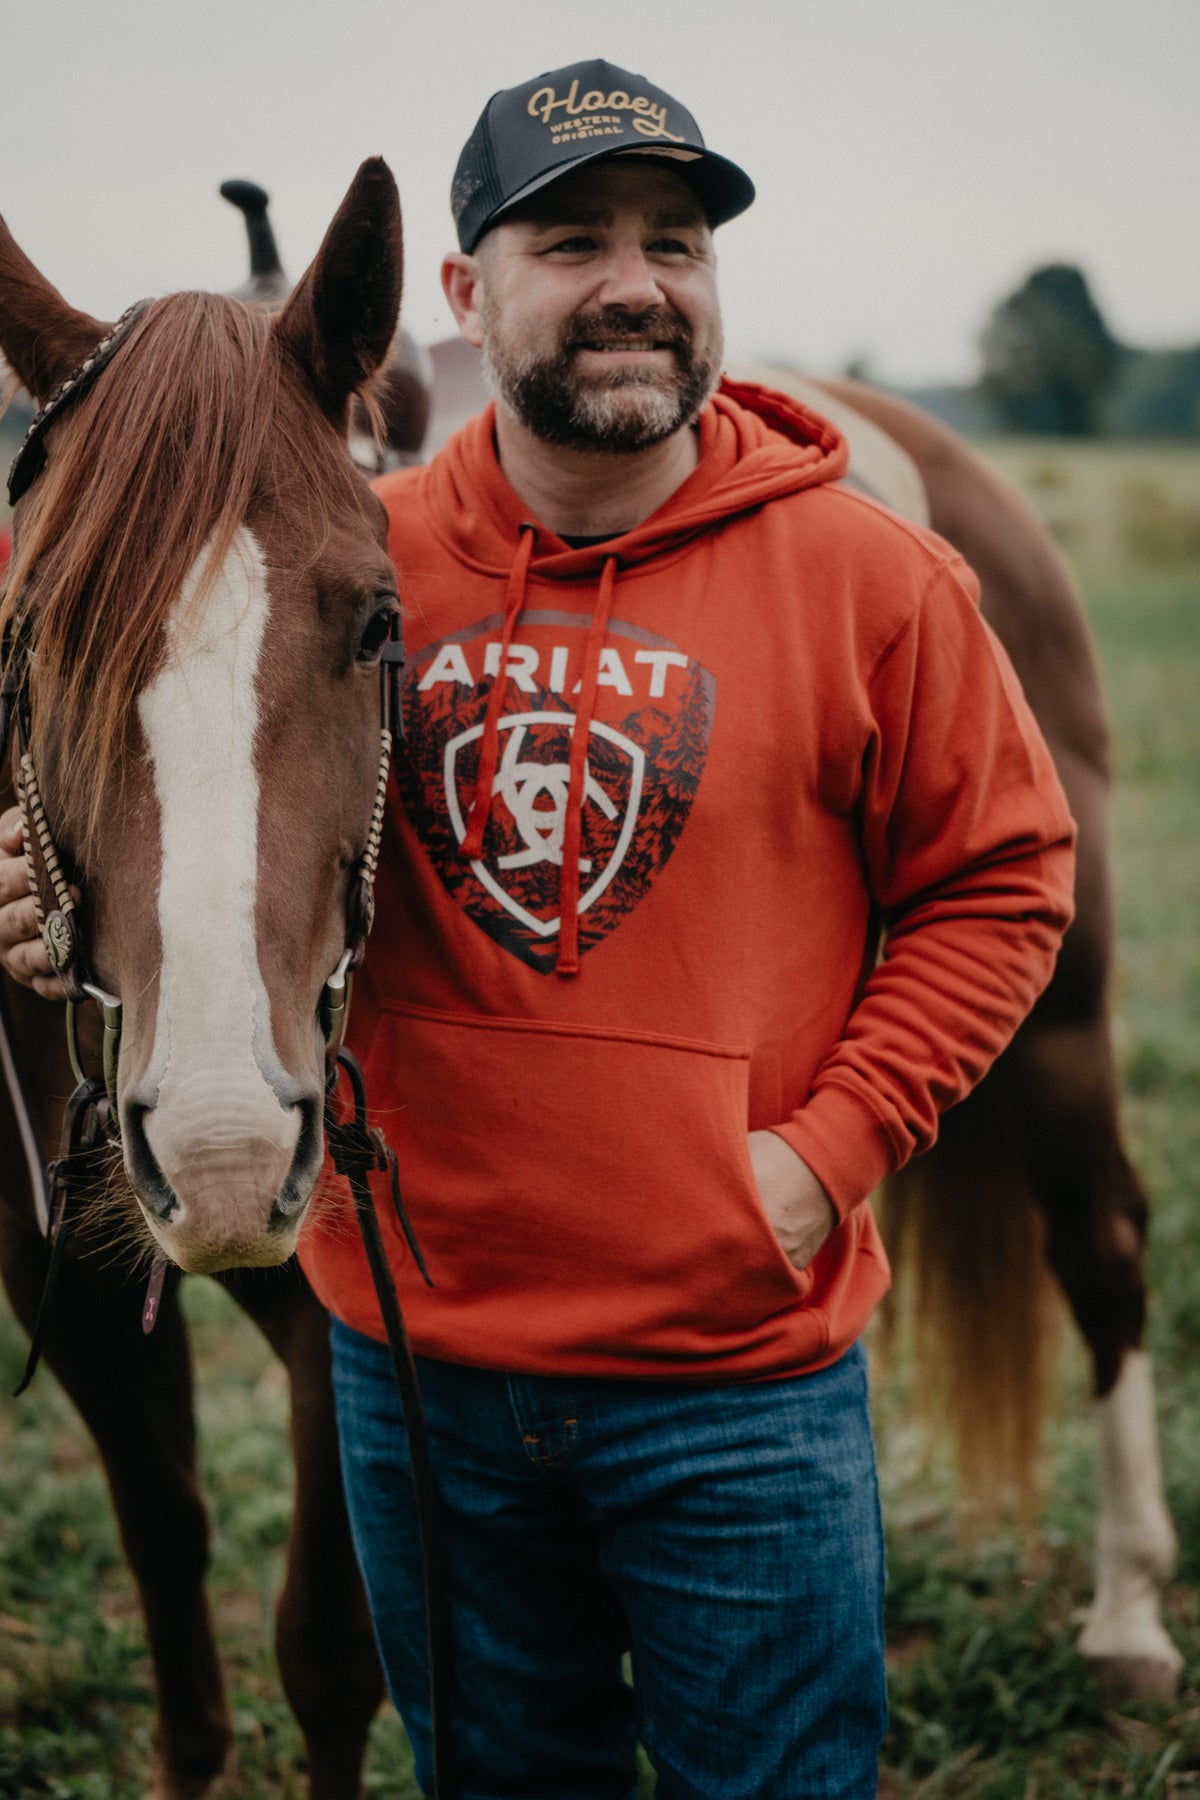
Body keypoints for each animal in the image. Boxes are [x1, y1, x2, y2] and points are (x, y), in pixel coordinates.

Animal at [0, 162, 408, 1792]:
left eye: (377, 623)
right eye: (38, 635)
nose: (229, 1149)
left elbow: (333, 1651)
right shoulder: (65, 1276)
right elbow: (168, 1546)